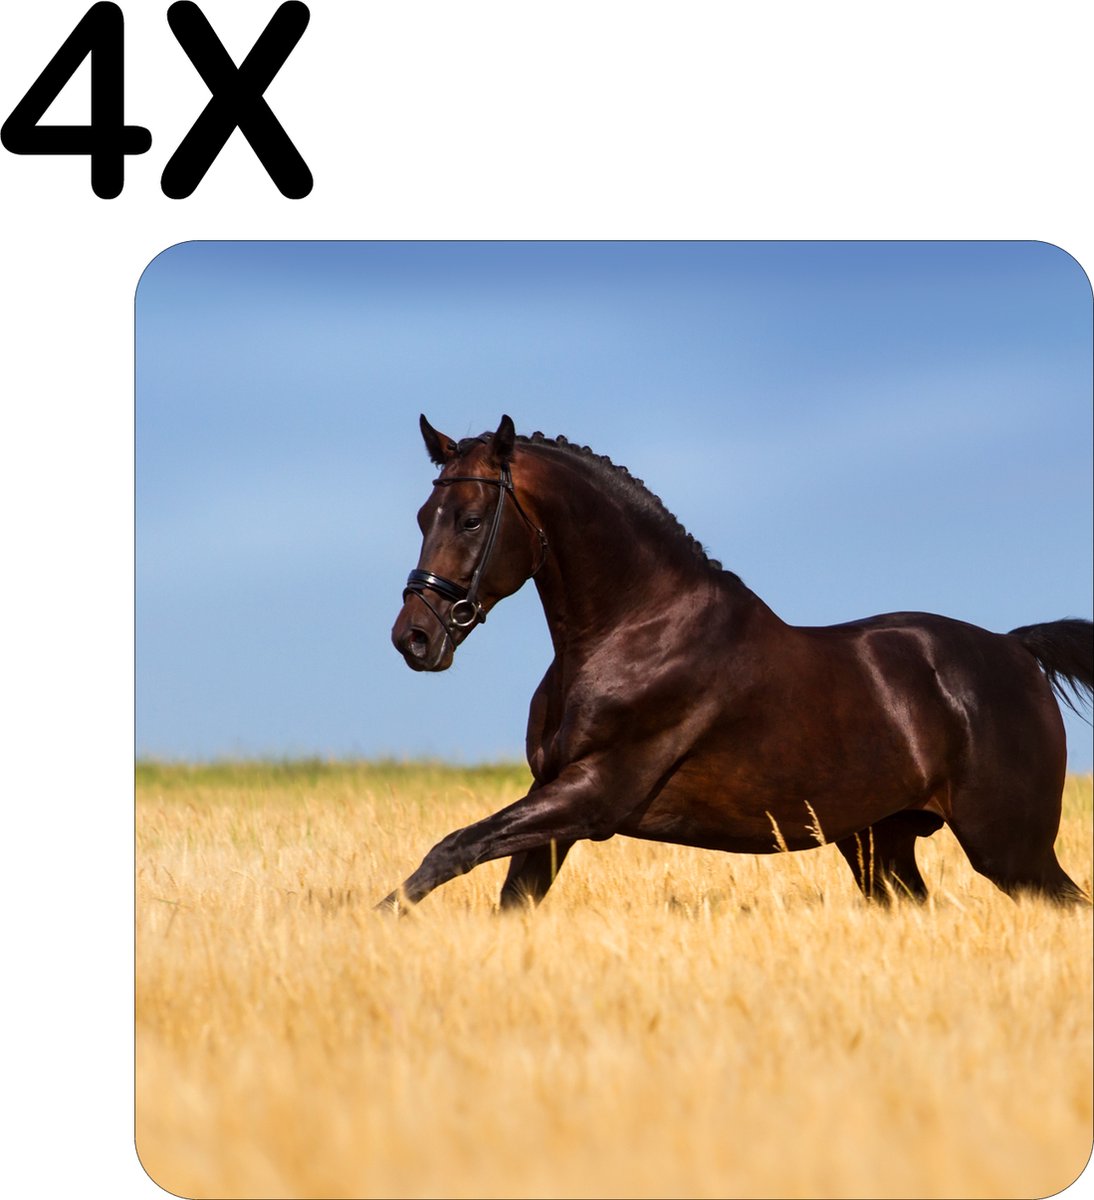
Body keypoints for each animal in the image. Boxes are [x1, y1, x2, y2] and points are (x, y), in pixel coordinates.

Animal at [383, 414, 1092, 911]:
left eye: (472, 520)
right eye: (422, 515)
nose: (413, 638)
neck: (633, 630)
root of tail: (1014, 648)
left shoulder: (591, 796)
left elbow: (447, 852)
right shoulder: (553, 805)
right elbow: (504, 894)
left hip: (1010, 847)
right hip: (880, 843)